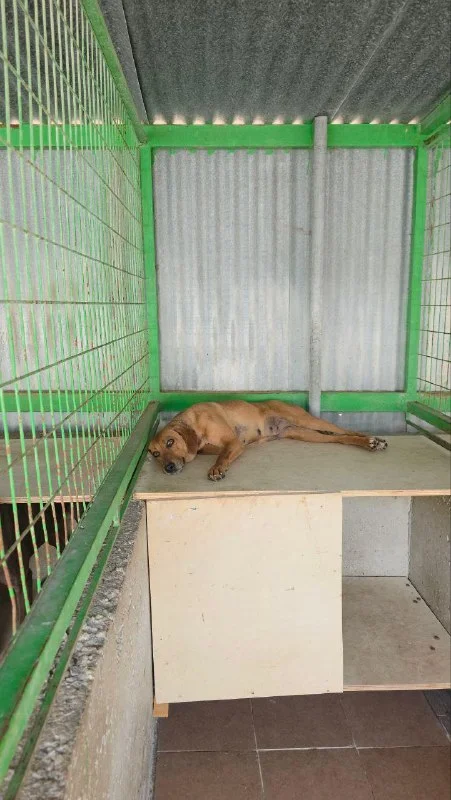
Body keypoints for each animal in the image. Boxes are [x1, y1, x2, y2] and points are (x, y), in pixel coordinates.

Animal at [148, 400, 387, 481]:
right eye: (155, 454)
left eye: (170, 442)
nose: (168, 468)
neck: (195, 423)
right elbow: (217, 452)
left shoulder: (234, 442)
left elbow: (223, 456)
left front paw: (217, 469)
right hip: (304, 434)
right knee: (341, 438)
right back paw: (367, 442)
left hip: (306, 419)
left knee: (345, 429)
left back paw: (372, 440)